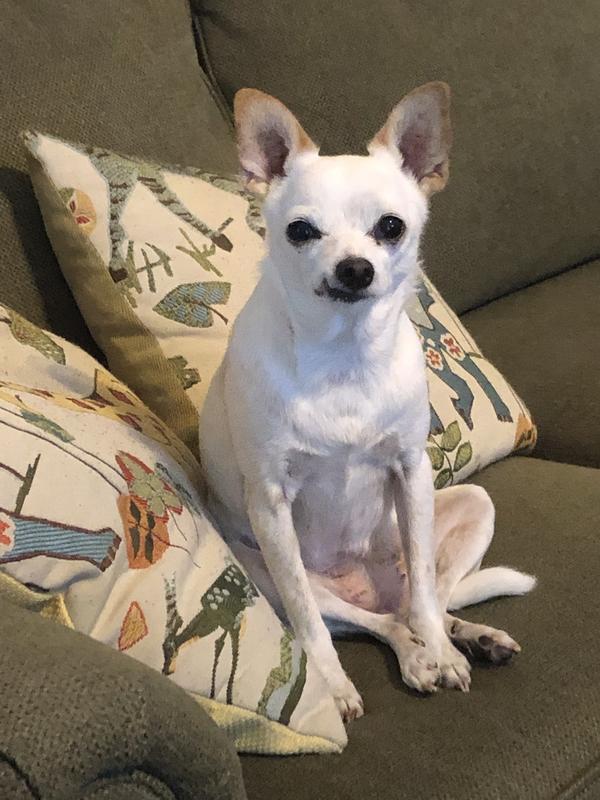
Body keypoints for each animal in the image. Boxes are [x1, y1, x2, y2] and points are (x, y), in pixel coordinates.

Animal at [199, 84, 536, 720]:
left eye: (391, 227)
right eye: (301, 231)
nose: (355, 267)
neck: (344, 355)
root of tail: (370, 587)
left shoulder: (412, 472)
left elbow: (425, 591)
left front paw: (445, 650)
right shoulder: (270, 505)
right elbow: (308, 622)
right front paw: (330, 686)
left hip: (471, 506)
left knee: (422, 603)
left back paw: (462, 640)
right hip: (262, 565)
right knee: (375, 622)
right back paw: (414, 656)